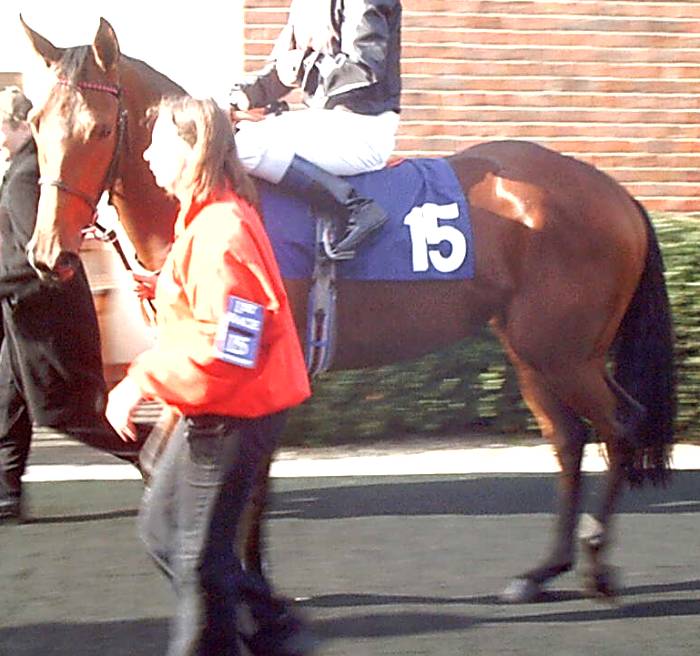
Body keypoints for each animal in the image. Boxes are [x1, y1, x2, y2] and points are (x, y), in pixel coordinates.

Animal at [21, 17, 675, 603]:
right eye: (35, 124)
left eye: (100, 129)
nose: (48, 254)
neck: (210, 193)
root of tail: (615, 193)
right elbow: (200, 464)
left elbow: (249, 478)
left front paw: (249, 580)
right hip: (531, 350)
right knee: (569, 441)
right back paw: (541, 573)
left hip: (563, 352)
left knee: (618, 427)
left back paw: (596, 566)